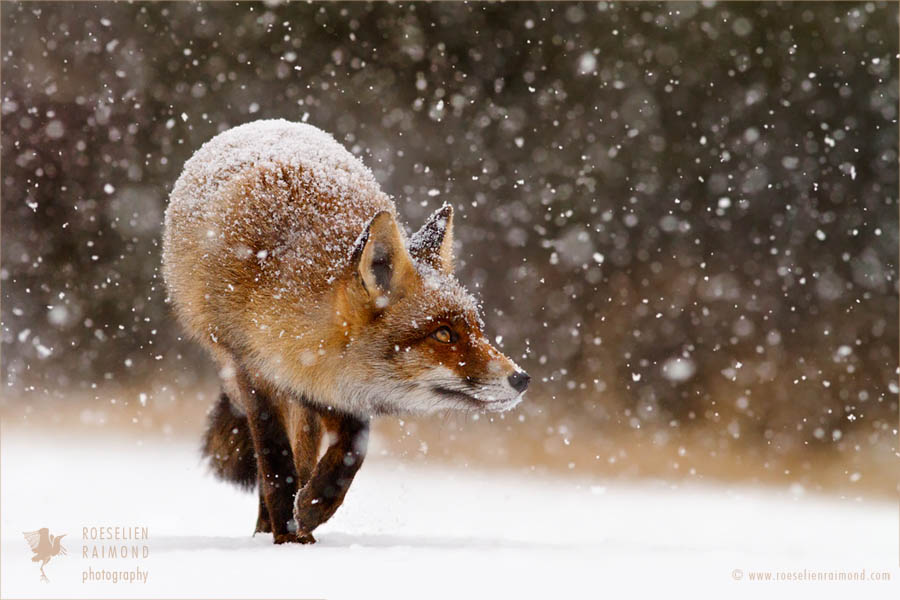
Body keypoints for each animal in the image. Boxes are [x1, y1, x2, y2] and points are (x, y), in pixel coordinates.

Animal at [162, 119, 530, 544]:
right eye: (442, 334)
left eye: (476, 328)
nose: (521, 378)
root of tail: (264, 123)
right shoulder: (251, 371)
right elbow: (274, 464)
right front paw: (285, 535)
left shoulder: (332, 389)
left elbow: (353, 448)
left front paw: (313, 507)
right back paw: (268, 529)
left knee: (309, 454)